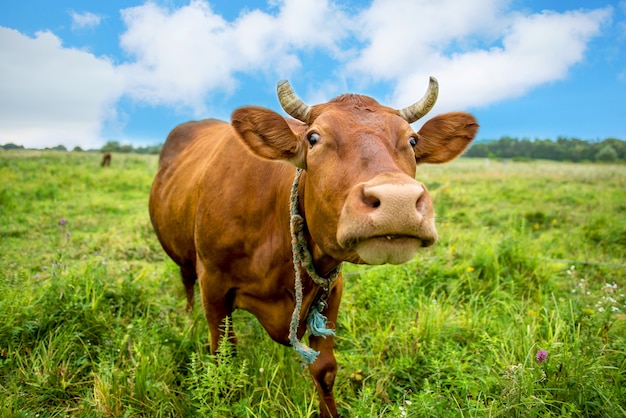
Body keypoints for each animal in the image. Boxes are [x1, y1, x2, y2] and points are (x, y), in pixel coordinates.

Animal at [149, 77, 476, 414]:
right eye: (314, 138)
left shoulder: (332, 287)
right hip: (184, 257)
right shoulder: (213, 283)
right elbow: (224, 360)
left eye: (412, 141)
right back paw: (188, 319)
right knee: (186, 281)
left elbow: (325, 369)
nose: (397, 200)